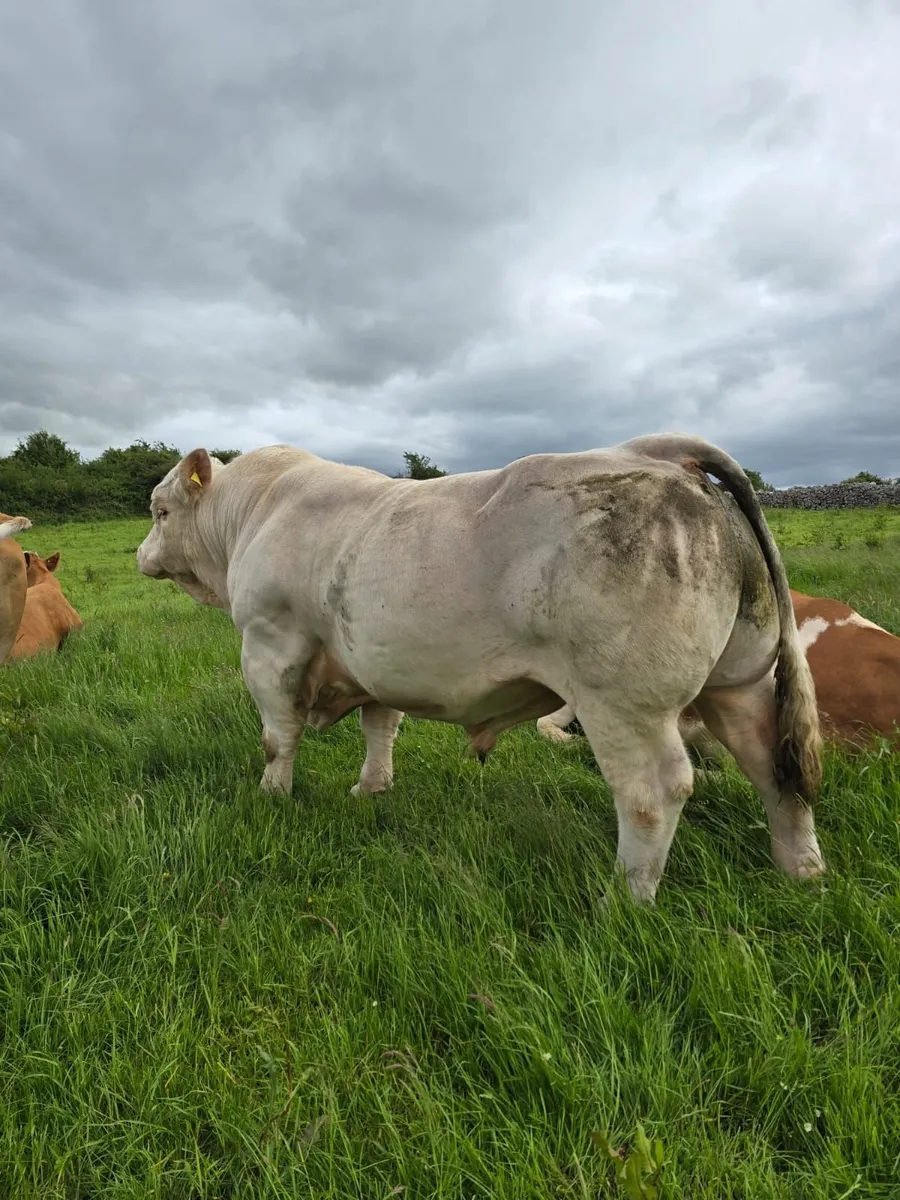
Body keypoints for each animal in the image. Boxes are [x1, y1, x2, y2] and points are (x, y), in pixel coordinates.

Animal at [136, 433, 824, 904]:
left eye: (159, 511)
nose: (140, 554)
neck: (254, 513)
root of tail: (665, 458)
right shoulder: (372, 655)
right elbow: (379, 726)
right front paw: (370, 789)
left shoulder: (270, 641)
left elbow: (277, 735)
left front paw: (271, 797)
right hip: (738, 683)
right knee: (774, 768)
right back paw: (801, 872)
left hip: (625, 702)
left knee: (653, 792)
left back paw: (625, 900)